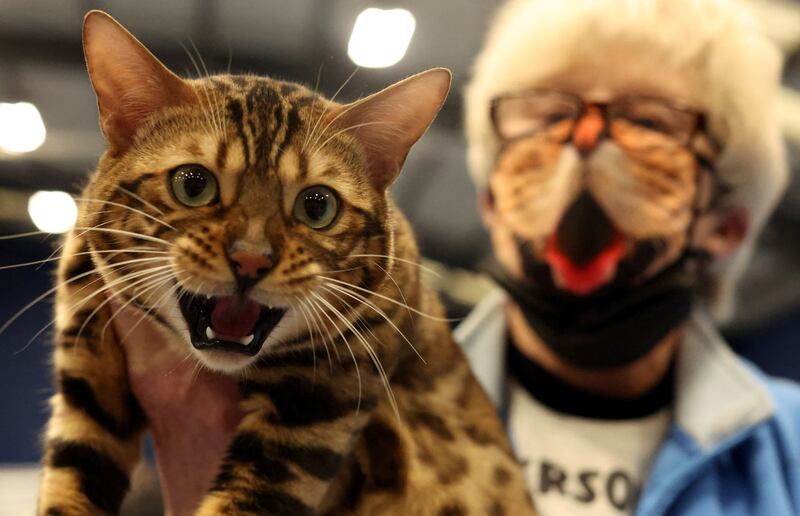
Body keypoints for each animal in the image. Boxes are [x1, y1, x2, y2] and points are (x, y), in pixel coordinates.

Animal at [37, 9, 536, 516]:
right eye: (193, 184)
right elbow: (69, 482)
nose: (250, 259)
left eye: (318, 207)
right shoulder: (84, 369)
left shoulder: (319, 400)